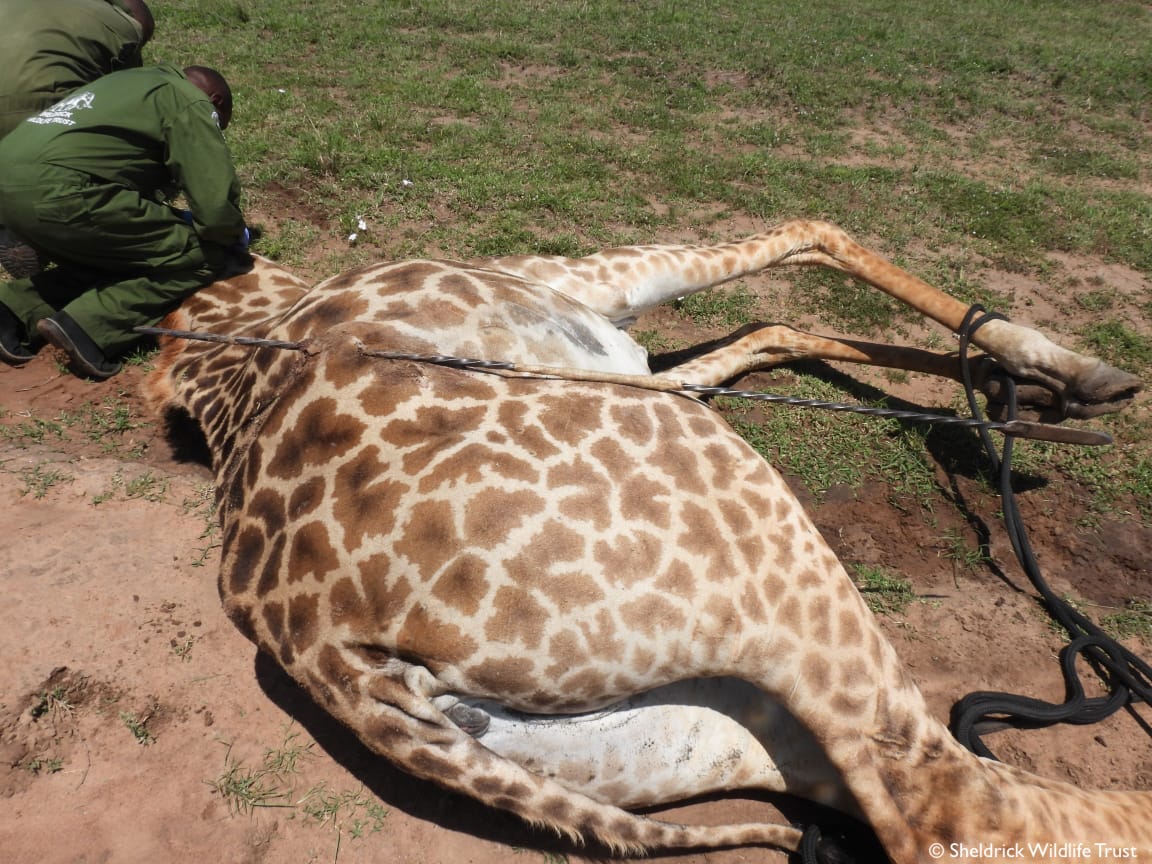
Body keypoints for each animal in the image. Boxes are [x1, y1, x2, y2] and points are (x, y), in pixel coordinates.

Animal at [145, 219, 1147, 863]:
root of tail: (331, 657)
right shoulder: (587, 294)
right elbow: (807, 234)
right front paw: (1067, 374)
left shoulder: (630, 362)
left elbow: (769, 331)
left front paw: (1028, 393)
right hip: (758, 550)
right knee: (953, 800)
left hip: (676, 733)